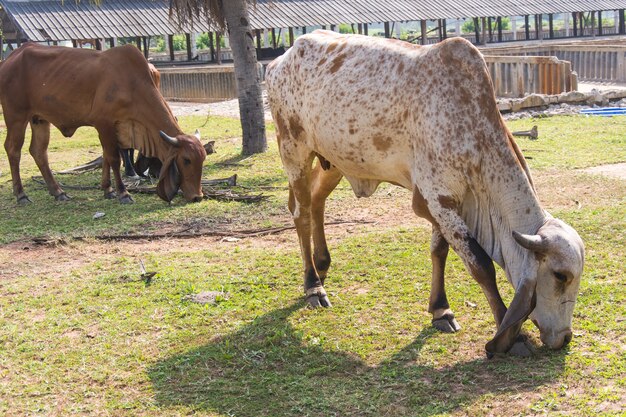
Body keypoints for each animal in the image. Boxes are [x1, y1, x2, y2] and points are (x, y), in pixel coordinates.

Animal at [0, 42, 207, 203]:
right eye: (186, 160)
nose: (197, 196)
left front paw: (108, 189)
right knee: (13, 149)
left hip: (40, 119)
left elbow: (107, 156)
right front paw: (123, 193)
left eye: (203, 158)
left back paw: (58, 192)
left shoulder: (117, 127)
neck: (133, 83)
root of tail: (11, 57)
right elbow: (114, 158)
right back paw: (21, 195)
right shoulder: (104, 123)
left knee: (39, 151)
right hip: (16, 117)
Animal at [262, 30, 580, 354]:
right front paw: (513, 336)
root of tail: (280, 60)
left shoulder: (444, 201)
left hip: (334, 160)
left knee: (316, 200)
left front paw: (441, 310)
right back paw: (313, 285)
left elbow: (439, 251)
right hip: (293, 150)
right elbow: (481, 265)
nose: (565, 337)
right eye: (560, 275)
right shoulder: (438, 199)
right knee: (300, 212)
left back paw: (322, 264)